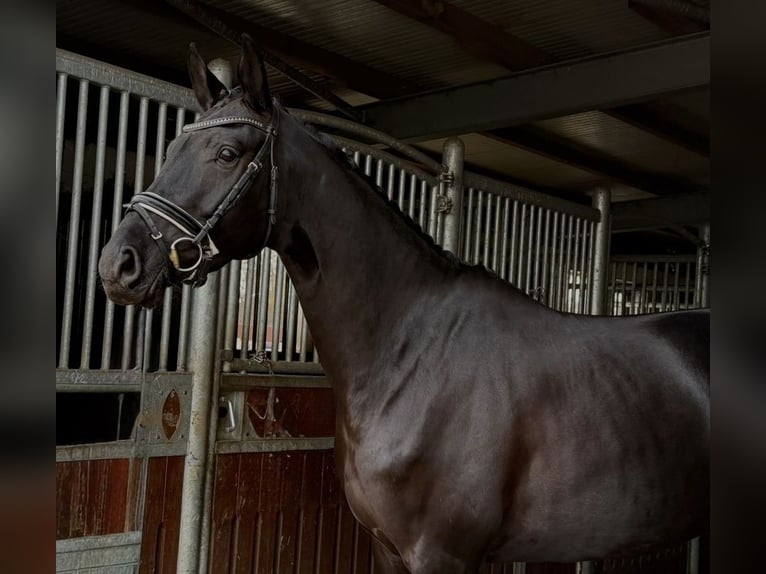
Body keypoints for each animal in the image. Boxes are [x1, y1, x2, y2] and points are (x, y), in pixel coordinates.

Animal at [98, 35, 709, 573]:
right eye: (171, 149)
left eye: (227, 154)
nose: (117, 265)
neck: (410, 353)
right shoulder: (387, 548)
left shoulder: (442, 555)